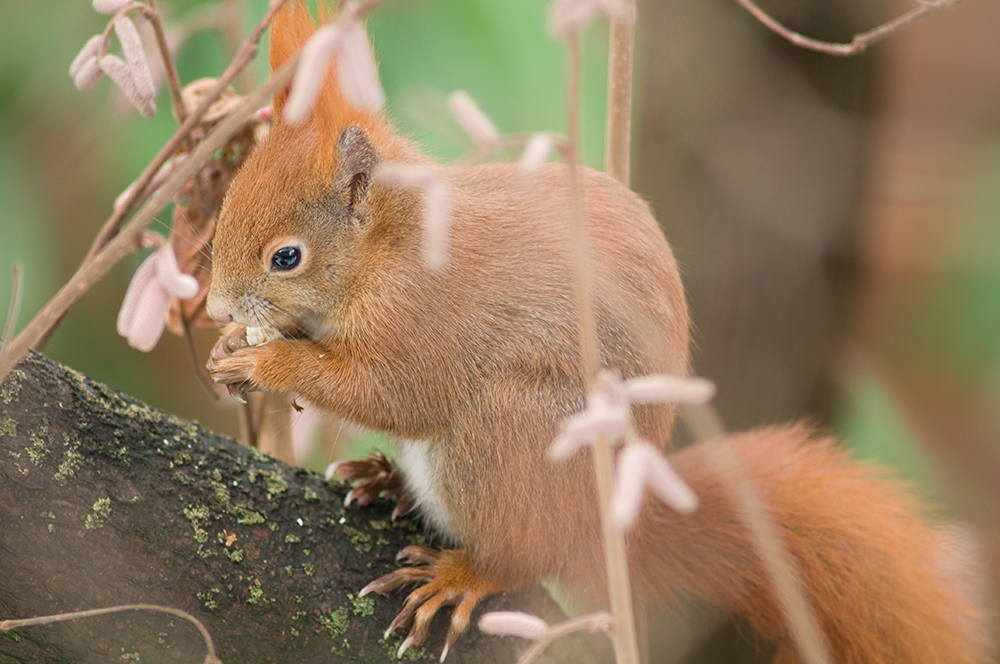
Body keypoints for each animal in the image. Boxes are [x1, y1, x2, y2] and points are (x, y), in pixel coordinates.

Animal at [203, 2, 984, 660]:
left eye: (286, 257)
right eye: (228, 202)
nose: (214, 308)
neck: (389, 247)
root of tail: (608, 531)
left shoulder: (425, 317)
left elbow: (394, 393)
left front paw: (266, 365)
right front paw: (228, 351)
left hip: (515, 436)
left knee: (520, 554)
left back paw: (461, 576)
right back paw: (387, 480)